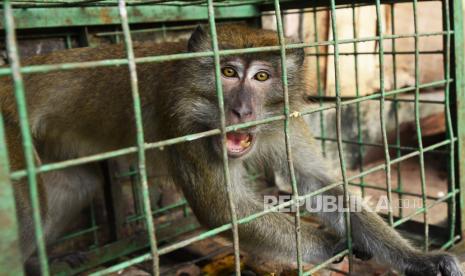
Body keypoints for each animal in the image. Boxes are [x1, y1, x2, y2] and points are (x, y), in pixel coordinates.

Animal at [0, 24, 460, 276]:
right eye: (227, 71)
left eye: (262, 76)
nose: (240, 110)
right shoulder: (180, 123)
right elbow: (223, 208)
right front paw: (333, 246)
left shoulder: (287, 122)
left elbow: (323, 185)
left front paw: (417, 258)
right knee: (29, 210)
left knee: (74, 184)